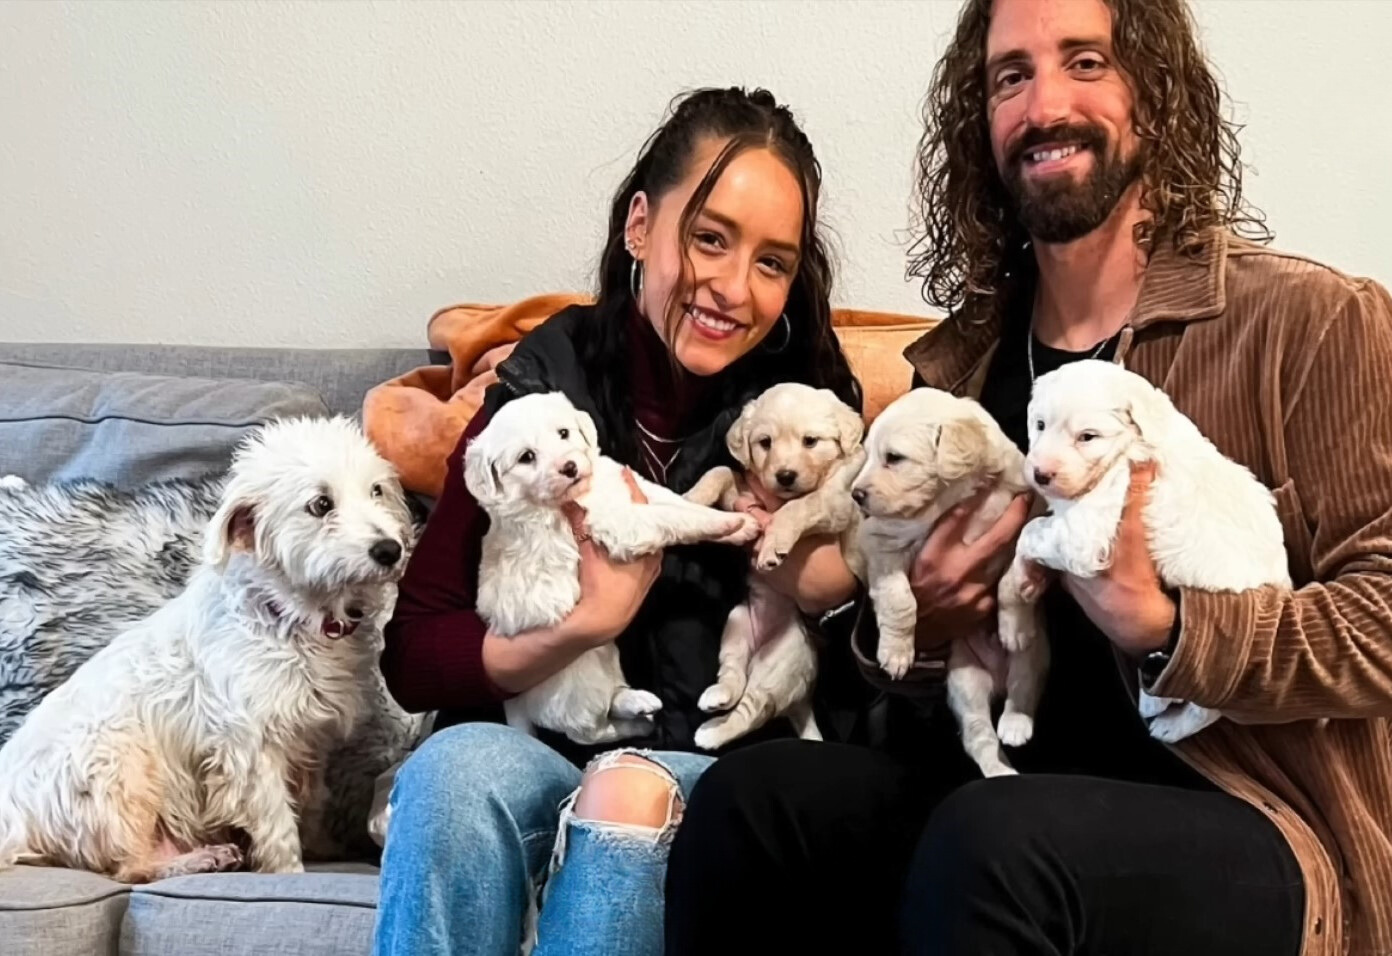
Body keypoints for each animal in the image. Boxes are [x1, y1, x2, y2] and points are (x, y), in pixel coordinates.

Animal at [0, 417, 412, 885]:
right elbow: (276, 822)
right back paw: (197, 859)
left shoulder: (310, 742)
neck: (288, 616)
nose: (390, 549)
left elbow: (311, 803)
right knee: (129, 868)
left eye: (376, 490)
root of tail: (14, 820)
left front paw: (323, 848)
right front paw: (289, 871)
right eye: (320, 504)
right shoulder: (249, 748)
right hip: (117, 763)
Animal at [462, 389, 757, 745]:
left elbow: (678, 502)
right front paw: (727, 522)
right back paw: (639, 725)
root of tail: (515, 701)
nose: (570, 467)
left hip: (604, 658)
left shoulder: (634, 488)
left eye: (564, 433)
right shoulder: (623, 523)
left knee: (612, 699)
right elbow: (675, 518)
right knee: (590, 729)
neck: (585, 492)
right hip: (578, 682)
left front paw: (740, 526)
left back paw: (638, 701)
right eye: (526, 457)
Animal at [682, 384, 863, 751]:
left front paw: (772, 546)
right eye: (765, 442)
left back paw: (710, 734)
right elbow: (721, 472)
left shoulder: (836, 504)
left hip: (783, 661)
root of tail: (802, 702)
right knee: (733, 676)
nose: (785, 476)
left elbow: (800, 505)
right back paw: (716, 697)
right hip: (736, 626)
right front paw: (693, 499)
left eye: (811, 441)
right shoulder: (746, 488)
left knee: (751, 711)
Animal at [846, 386, 1046, 779]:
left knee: (1023, 686)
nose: (856, 495)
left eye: (893, 458)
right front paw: (895, 653)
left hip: (1035, 653)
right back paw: (1000, 772)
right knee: (978, 735)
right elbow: (899, 598)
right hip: (963, 679)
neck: (951, 499)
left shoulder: (1030, 514)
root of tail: (997, 679)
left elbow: (1011, 577)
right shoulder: (880, 542)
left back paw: (1016, 722)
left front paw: (1012, 621)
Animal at [1013, 361, 1291, 745]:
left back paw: (1168, 724)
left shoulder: (1087, 533)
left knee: (1206, 709)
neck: (1131, 444)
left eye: (1087, 437)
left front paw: (1021, 575)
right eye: (1039, 424)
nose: (1040, 474)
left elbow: (1030, 532)